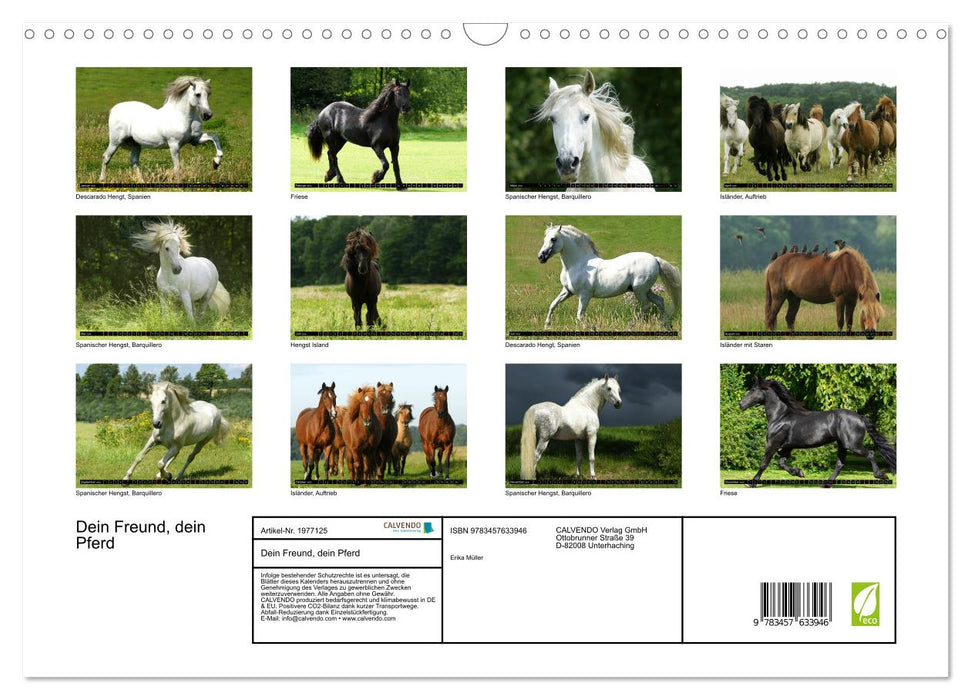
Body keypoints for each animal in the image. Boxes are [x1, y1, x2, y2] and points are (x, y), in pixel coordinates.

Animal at [537, 224, 681, 329]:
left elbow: (580, 315)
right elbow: (553, 304)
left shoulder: (584, 295)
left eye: (553, 239)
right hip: (645, 289)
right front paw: (547, 325)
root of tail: (655, 259)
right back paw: (664, 324)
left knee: (646, 306)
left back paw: (630, 325)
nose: (541, 257)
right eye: (544, 239)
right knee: (659, 301)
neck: (577, 264)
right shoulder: (567, 291)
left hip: (639, 290)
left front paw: (592, 328)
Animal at [739, 377, 896, 487]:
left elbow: (764, 464)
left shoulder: (773, 444)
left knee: (870, 454)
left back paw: (881, 475)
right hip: (842, 445)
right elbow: (782, 463)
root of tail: (861, 418)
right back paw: (826, 484)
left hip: (853, 445)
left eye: (753, 390)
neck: (780, 417)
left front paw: (751, 483)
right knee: (840, 464)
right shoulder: (787, 447)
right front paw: (800, 473)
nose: (741, 404)